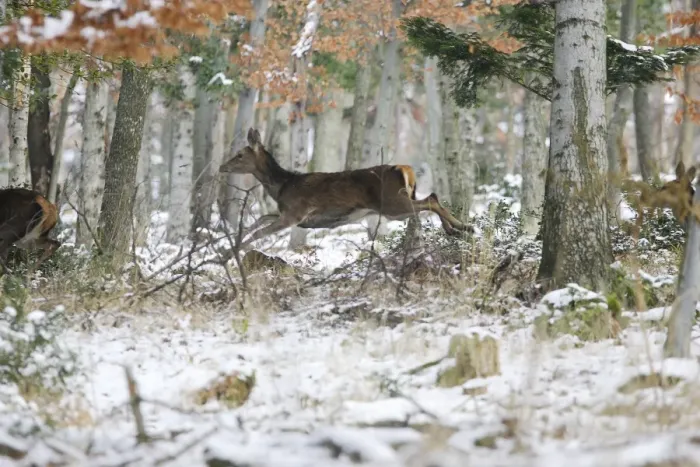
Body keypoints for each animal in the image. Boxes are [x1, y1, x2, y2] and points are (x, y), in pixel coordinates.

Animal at [219, 128, 472, 250]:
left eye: (239, 154)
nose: (222, 166)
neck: (281, 187)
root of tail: (405, 169)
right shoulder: (291, 215)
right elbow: (260, 220)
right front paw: (232, 242)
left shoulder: (296, 213)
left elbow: (261, 231)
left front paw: (232, 251)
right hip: (400, 202)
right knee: (431, 198)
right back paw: (455, 230)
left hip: (392, 204)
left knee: (431, 199)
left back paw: (463, 227)